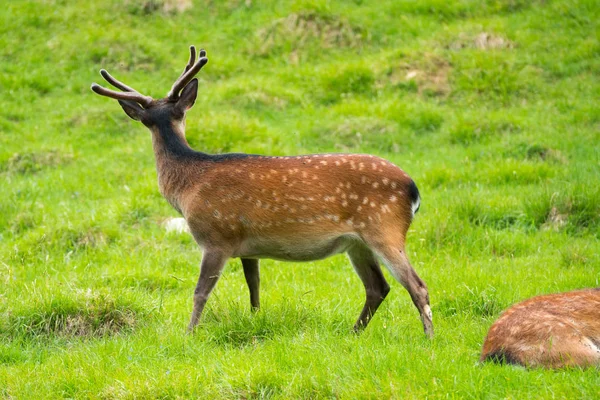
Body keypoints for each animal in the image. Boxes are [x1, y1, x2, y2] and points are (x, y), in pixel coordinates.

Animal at [91, 44, 434, 338]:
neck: (188, 187)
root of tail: (413, 189)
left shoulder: (215, 236)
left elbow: (200, 291)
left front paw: (189, 333)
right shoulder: (247, 247)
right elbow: (253, 286)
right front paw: (256, 320)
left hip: (384, 227)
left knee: (417, 285)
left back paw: (428, 338)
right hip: (357, 242)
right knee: (378, 287)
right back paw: (353, 333)